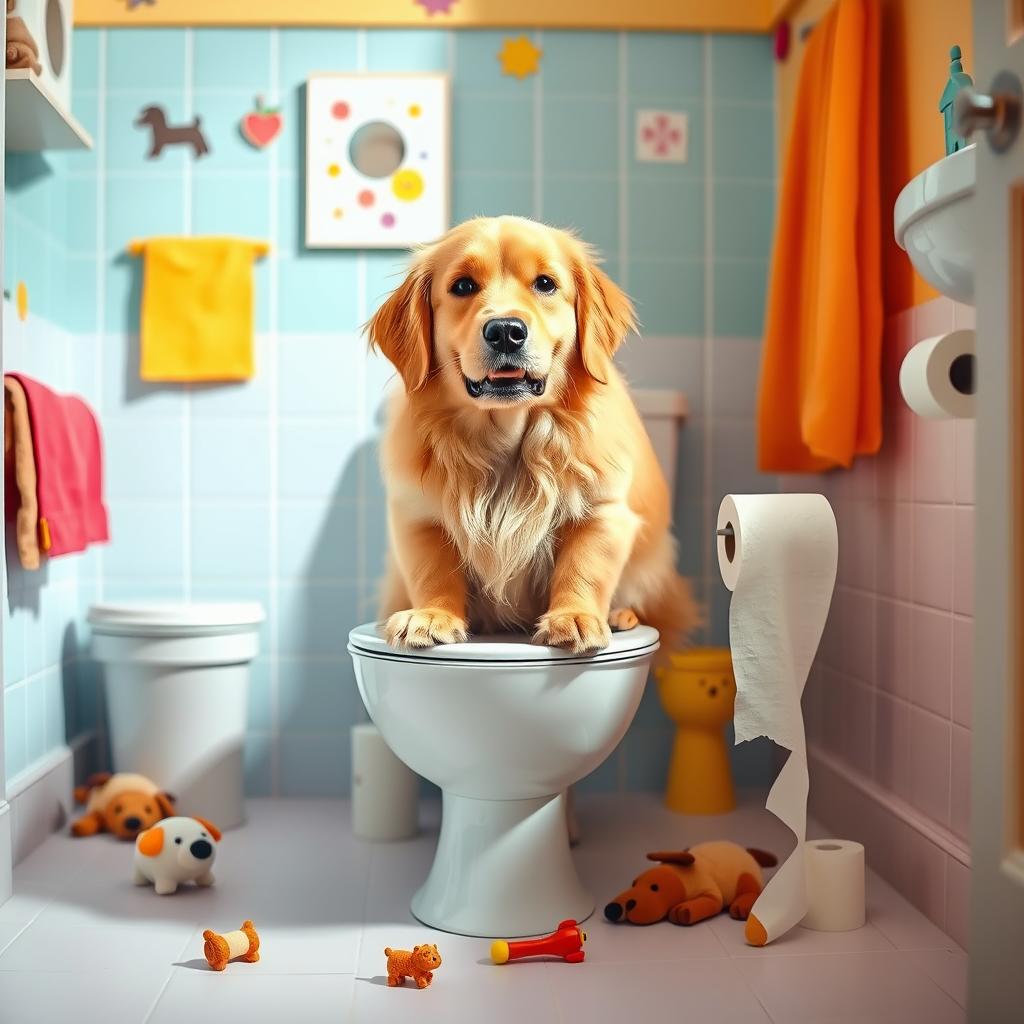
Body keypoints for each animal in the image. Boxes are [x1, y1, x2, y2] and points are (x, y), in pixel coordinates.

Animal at [366, 214, 696, 655]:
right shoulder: (419, 516)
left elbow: (583, 567)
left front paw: (574, 616)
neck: (508, 439)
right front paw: (433, 616)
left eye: (545, 283)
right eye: (462, 286)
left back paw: (620, 615)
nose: (506, 330)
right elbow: (434, 572)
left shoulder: (603, 510)